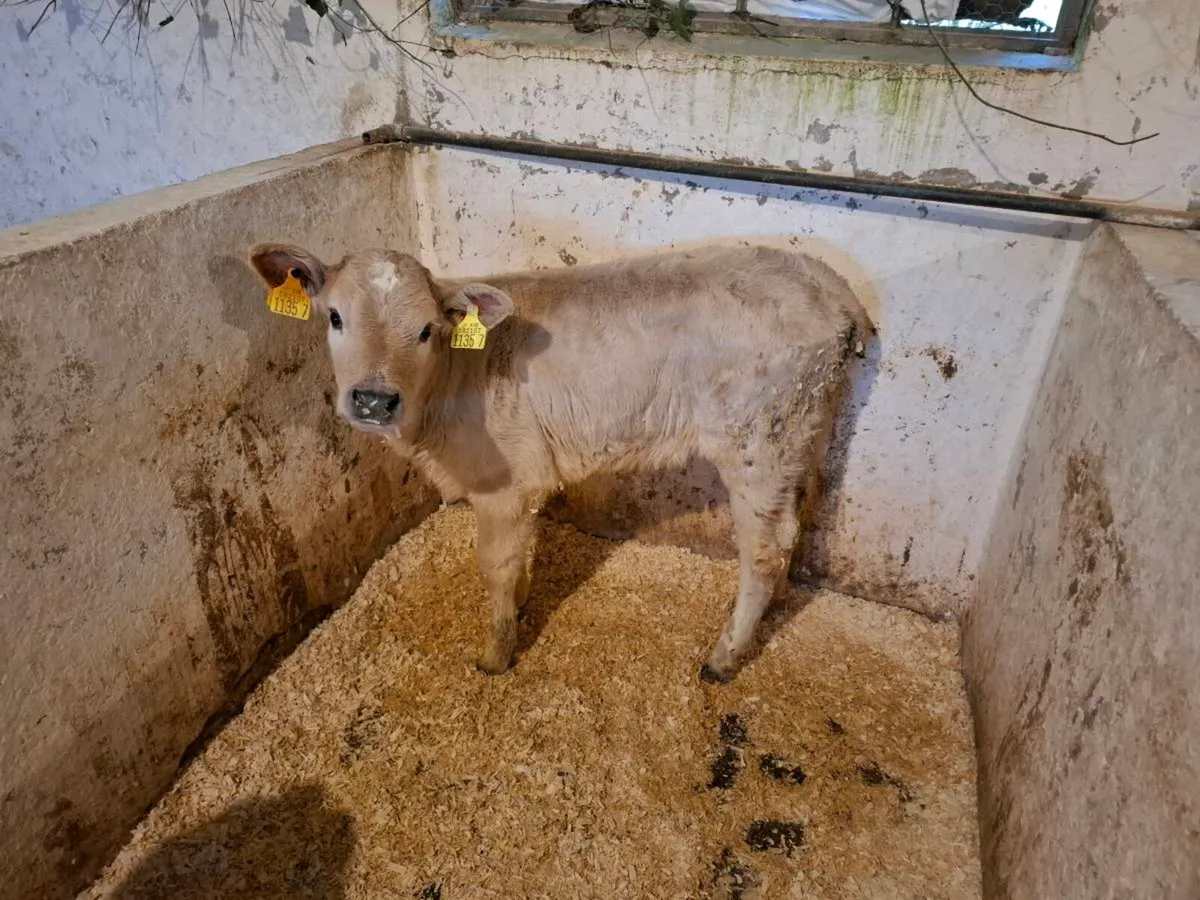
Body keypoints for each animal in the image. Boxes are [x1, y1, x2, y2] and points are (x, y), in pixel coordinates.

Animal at [248, 243, 873, 683]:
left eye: (426, 330)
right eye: (334, 317)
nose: (374, 400)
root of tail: (830, 288)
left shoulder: (502, 482)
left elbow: (495, 565)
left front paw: (495, 654)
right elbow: (522, 555)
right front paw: (523, 602)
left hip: (756, 444)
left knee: (763, 552)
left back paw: (724, 658)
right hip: (803, 434)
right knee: (797, 522)